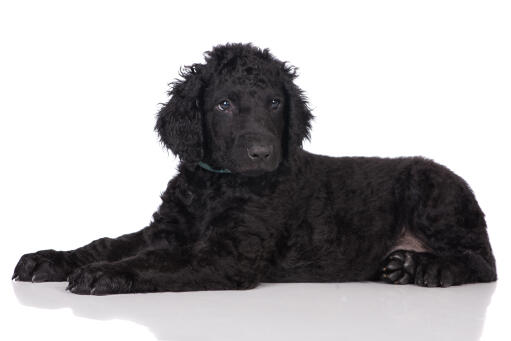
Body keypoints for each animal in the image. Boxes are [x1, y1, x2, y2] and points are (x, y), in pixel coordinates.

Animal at [12, 43, 498, 292]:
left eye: (275, 103)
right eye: (224, 105)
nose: (262, 153)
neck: (216, 184)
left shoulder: (229, 255)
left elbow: (158, 261)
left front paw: (105, 274)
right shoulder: (164, 229)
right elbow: (107, 242)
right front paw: (49, 260)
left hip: (432, 191)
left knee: (483, 261)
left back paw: (425, 268)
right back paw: (403, 266)